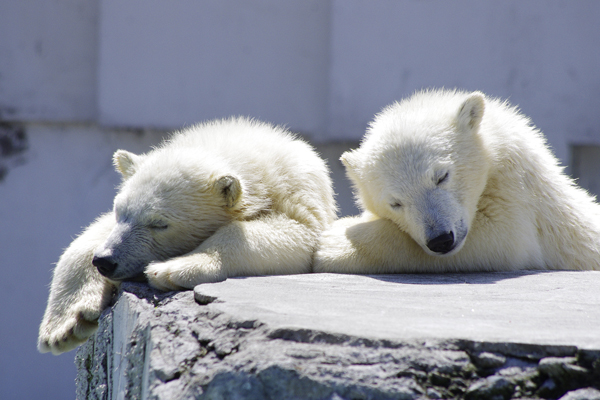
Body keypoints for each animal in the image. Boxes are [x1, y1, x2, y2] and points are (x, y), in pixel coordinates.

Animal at [39, 117, 336, 354]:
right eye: (120, 213)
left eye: (159, 224)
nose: (105, 261)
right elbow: (90, 236)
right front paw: (65, 325)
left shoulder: (298, 197)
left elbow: (295, 234)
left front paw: (170, 270)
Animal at [314, 89, 600, 274]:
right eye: (395, 203)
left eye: (442, 176)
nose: (440, 240)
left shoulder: (519, 196)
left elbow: (501, 238)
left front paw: (331, 245)